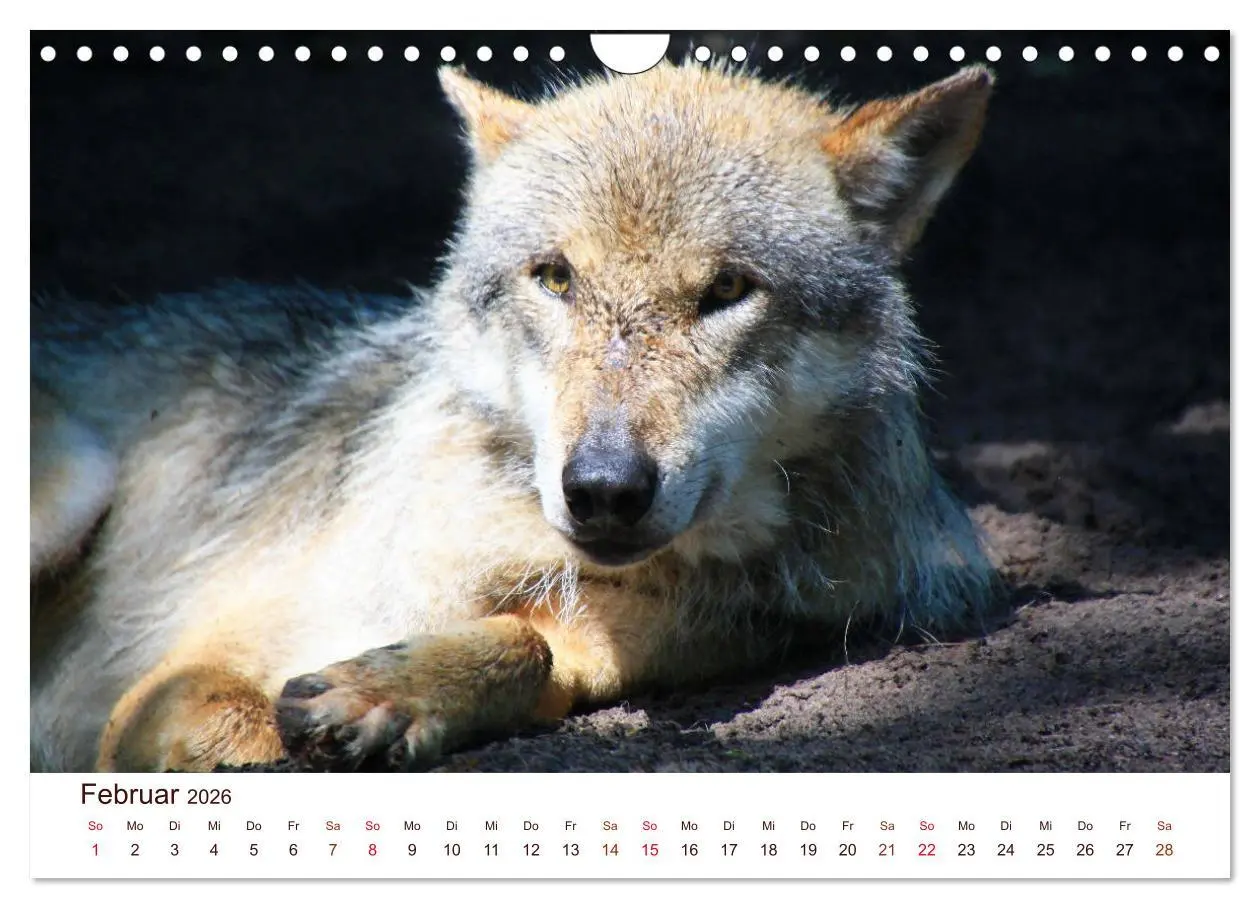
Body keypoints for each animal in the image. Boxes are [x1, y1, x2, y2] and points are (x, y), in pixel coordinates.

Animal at [31, 61, 1000, 772]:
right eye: (556, 278)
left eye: (727, 290)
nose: (604, 488)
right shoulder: (175, 679)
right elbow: (244, 729)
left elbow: (531, 648)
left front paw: (391, 694)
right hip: (75, 489)